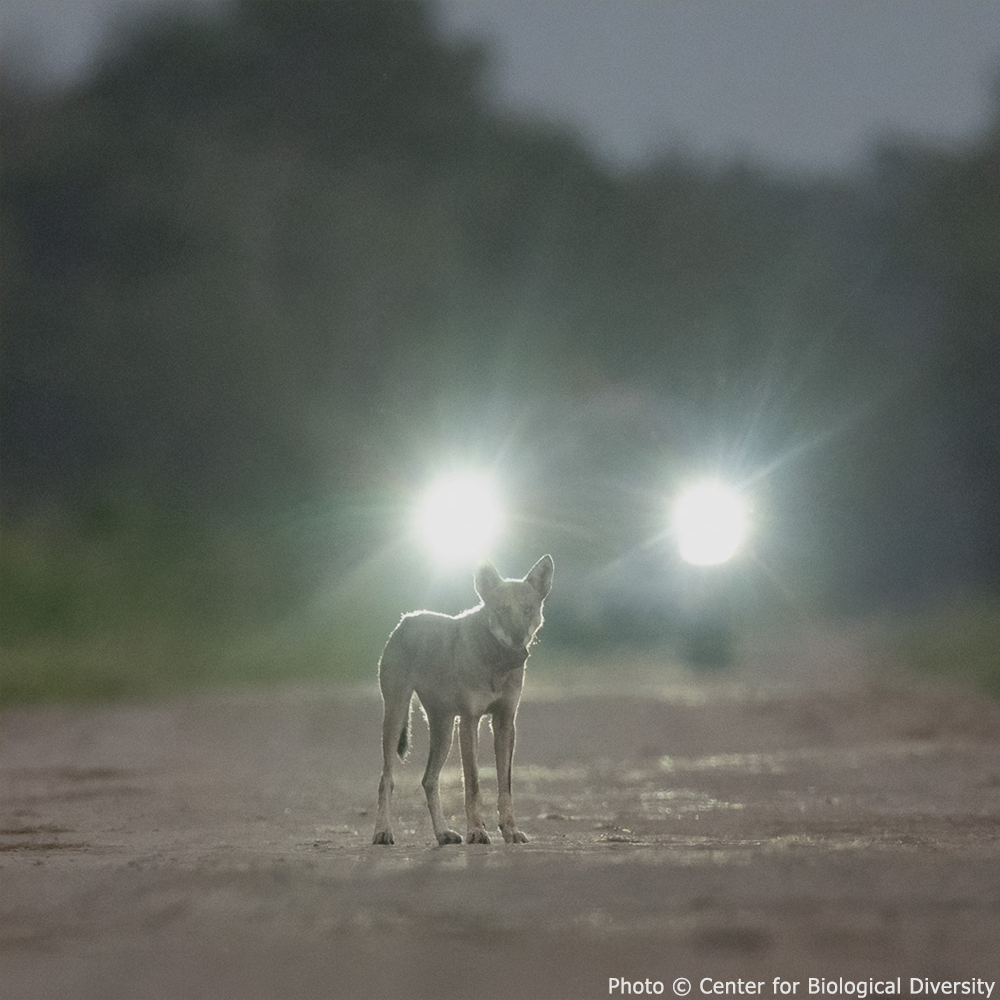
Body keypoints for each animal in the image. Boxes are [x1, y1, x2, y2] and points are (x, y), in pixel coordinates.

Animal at [372, 554, 554, 846]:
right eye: (501, 611)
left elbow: (505, 786)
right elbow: (473, 785)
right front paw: (477, 831)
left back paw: (442, 834)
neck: (495, 663)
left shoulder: (505, 723)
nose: (517, 639)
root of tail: (405, 620)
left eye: (527, 610)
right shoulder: (470, 721)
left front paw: (510, 831)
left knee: (428, 780)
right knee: (386, 780)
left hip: (444, 731)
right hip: (396, 717)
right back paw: (383, 831)